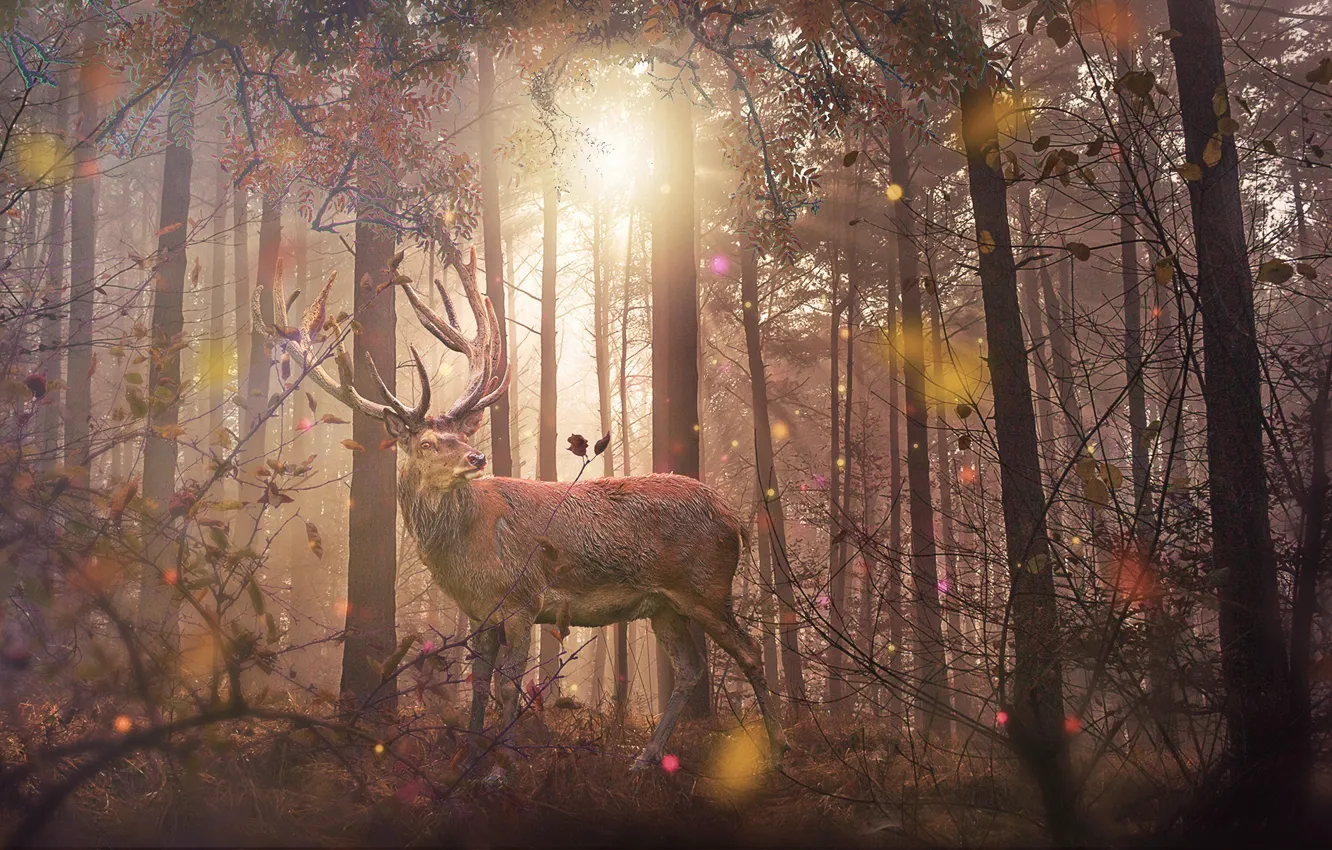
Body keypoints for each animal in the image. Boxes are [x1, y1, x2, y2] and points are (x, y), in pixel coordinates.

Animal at [256, 247, 786, 776]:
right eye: (427, 443)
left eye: (462, 435)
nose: (476, 458)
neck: (466, 556)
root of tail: (733, 517)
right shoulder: (479, 612)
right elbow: (478, 685)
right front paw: (468, 760)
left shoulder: (522, 598)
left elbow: (509, 686)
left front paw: (502, 767)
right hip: (664, 605)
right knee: (691, 667)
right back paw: (644, 759)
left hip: (706, 586)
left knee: (750, 653)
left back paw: (778, 749)